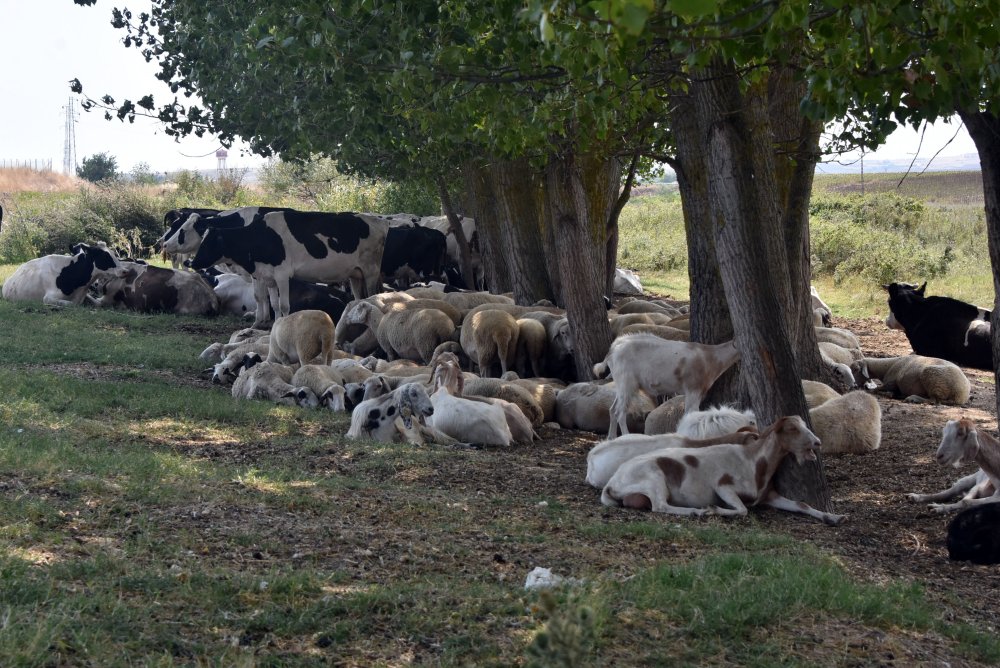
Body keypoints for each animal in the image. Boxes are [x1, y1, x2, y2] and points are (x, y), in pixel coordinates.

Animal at [600, 412, 844, 528]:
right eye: (792, 428)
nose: (817, 443)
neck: (753, 462)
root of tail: (612, 483)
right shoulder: (723, 486)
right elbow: (742, 510)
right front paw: (714, 509)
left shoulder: (769, 496)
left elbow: (802, 504)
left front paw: (834, 517)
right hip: (654, 479)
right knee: (660, 506)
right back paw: (696, 512)